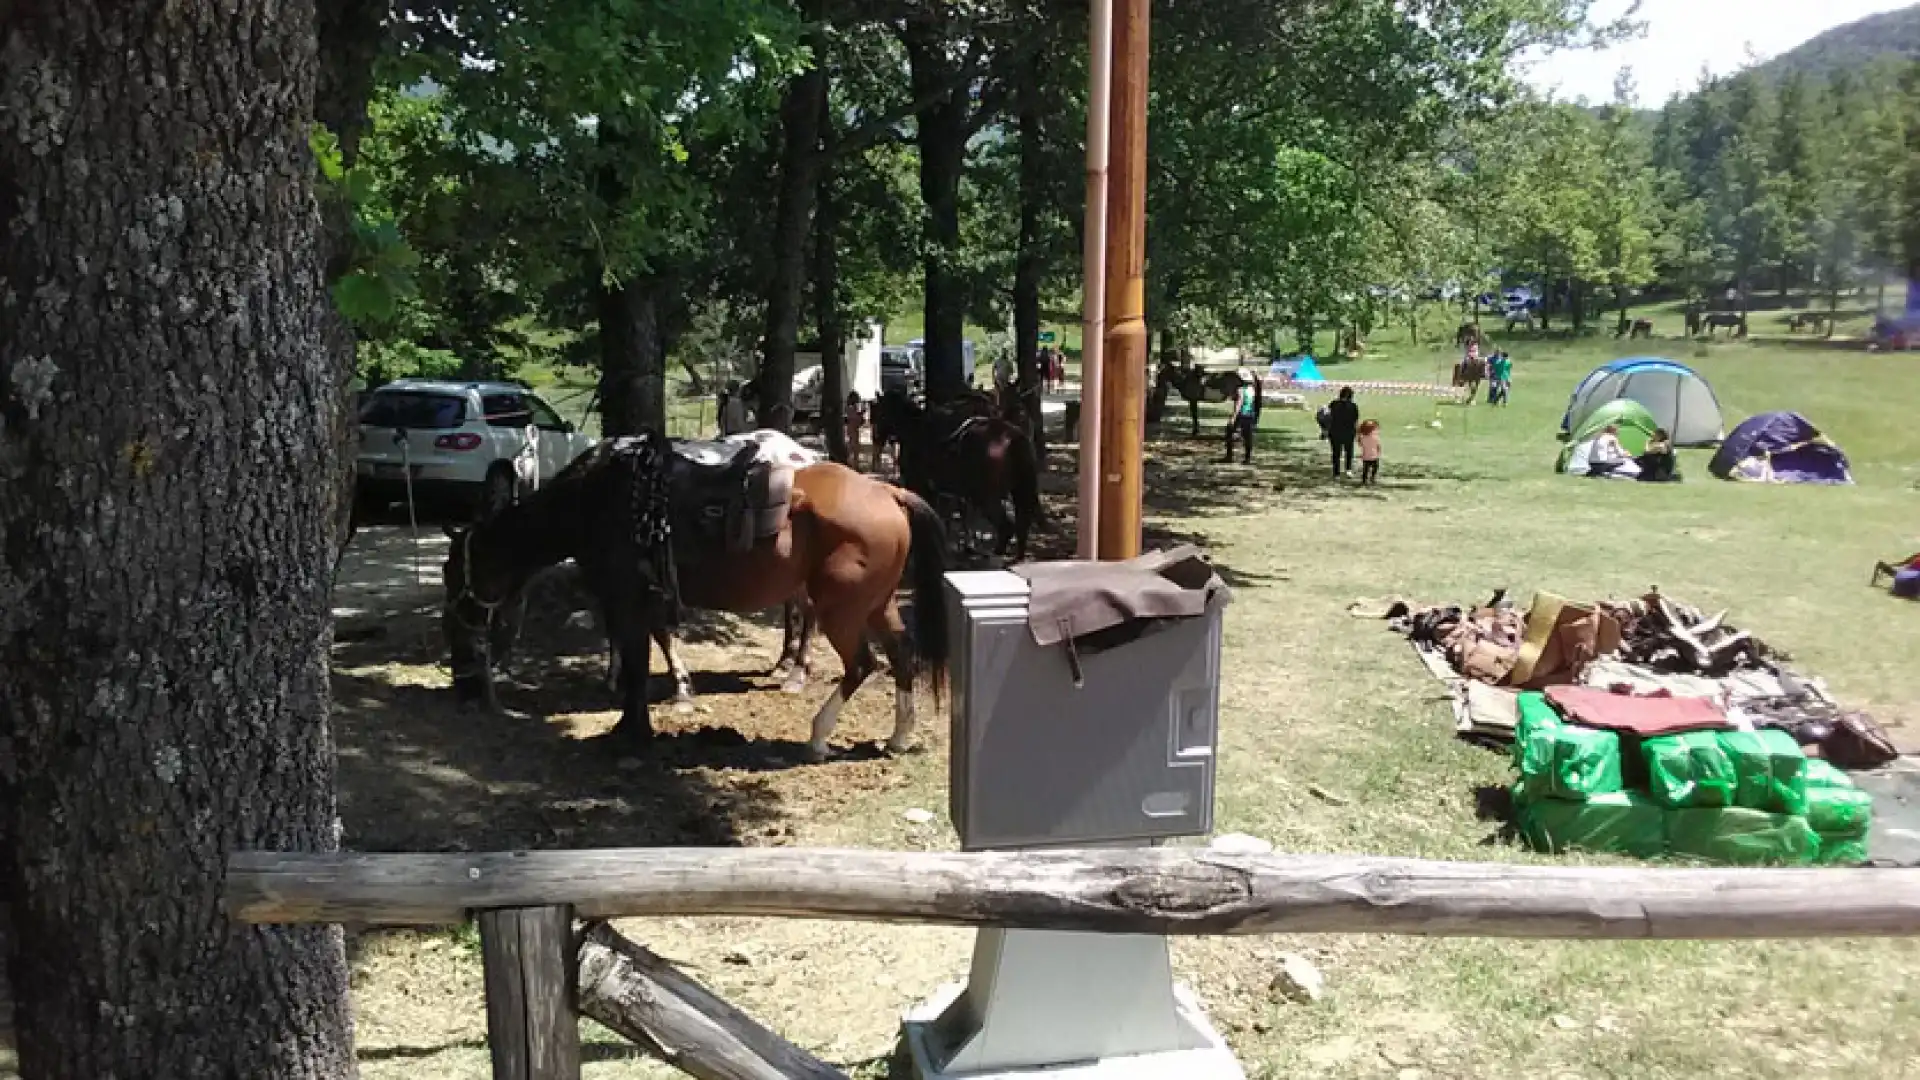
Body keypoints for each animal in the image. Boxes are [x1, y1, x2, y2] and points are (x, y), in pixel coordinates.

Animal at [451, 430, 960, 757]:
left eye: (454, 570)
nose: (465, 673)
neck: (593, 501)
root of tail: (889, 493)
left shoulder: (625, 598)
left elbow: (637, 662)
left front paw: (631, 731)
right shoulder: (647, 597)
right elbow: (653, 647)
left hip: (842, 608)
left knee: (861, 664)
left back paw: (817, 737)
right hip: (877, 604)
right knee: (902, 655)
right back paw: (898, 738)